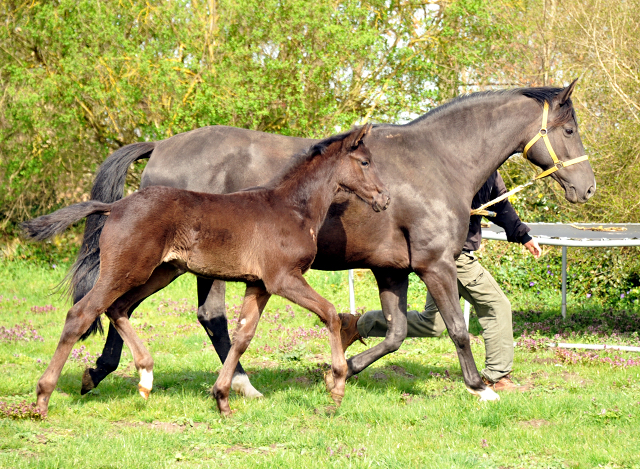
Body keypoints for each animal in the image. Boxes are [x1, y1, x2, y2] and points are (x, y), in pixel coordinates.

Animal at [23, 123, 390, 414]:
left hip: (162, 272)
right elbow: (329, 314)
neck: (291, 208)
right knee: (82, 314)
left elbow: (243, 336)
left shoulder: (258, 285)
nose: (384, 199)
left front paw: (223, 397)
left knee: (119, 308)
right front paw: (336, 387)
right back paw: (43, 398)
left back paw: (145, 377)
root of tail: (115, 206)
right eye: (365, 162)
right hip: (127, 270)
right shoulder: (283, 278)